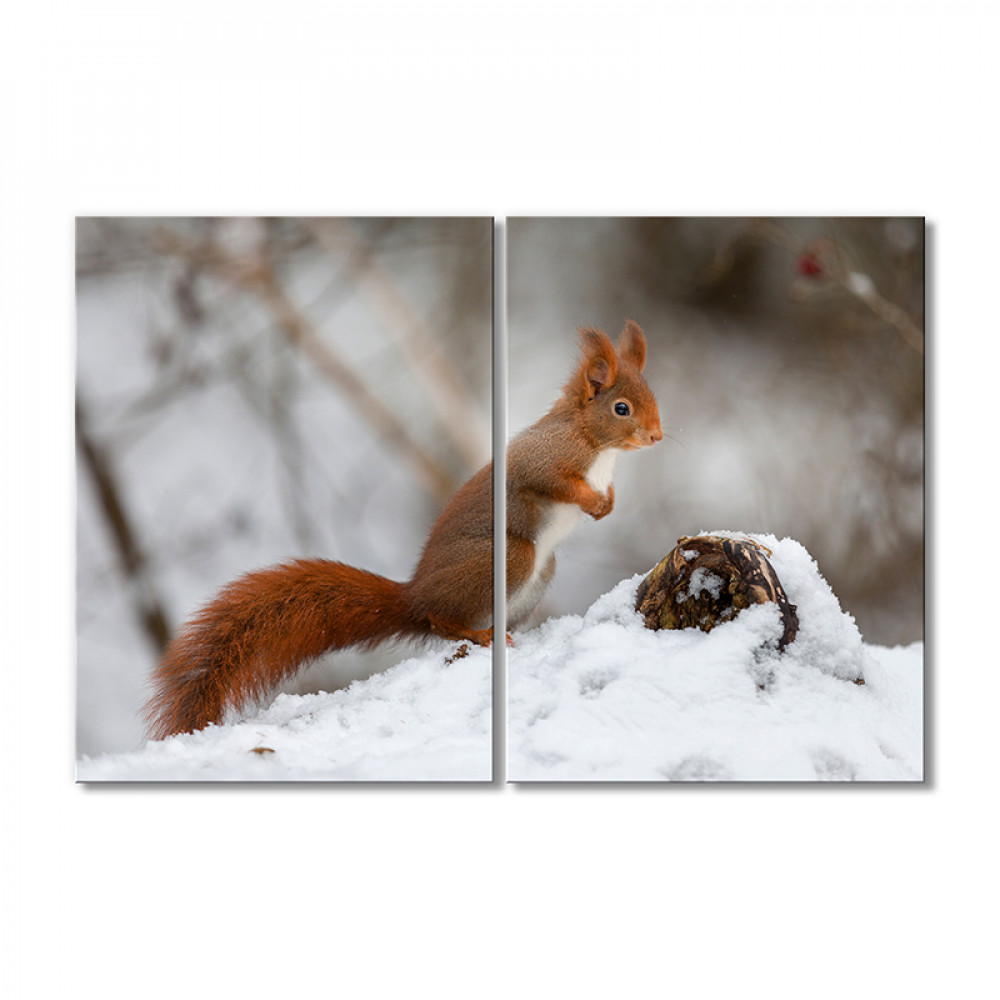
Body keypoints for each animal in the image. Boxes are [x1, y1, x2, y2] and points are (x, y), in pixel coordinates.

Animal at [141, 322, 656, 744]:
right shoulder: (545, 459)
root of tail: (414, 596)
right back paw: (479, 633)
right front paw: (592, 501)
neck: (595, 444)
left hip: (538, 571)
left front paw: (607, 504)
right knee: (442, 622)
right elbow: (553, 482)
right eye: (621, 408)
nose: (657, 436)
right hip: (511, 557)